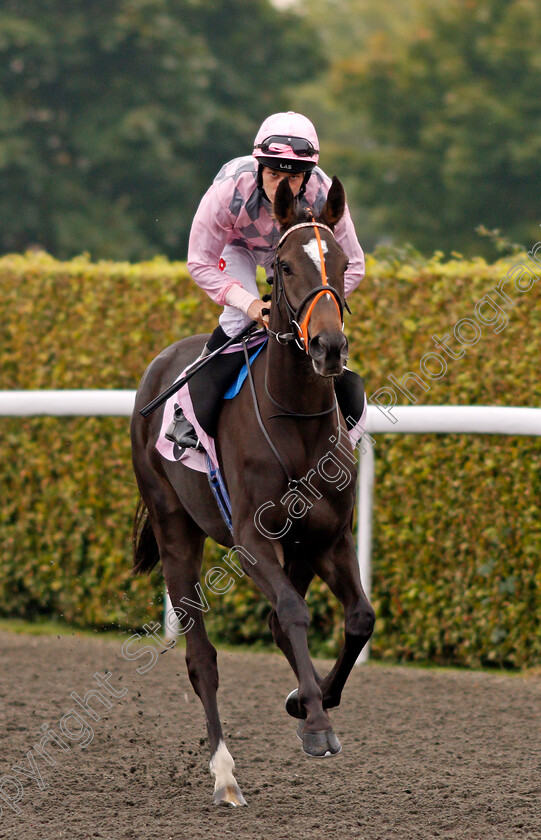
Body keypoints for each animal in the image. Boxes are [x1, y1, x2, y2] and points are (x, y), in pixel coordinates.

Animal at [131, 174, 376, 804]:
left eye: (342, 262)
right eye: (283, 266)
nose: (329, 348)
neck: (297, 420)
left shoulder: (328, 538)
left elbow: (358, 618)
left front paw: (309, 700)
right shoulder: (252, 538)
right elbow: (290, 612)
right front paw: (316, 724)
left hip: (298, 547)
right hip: (176, 530)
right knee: (201, 657)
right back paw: (223, 772)